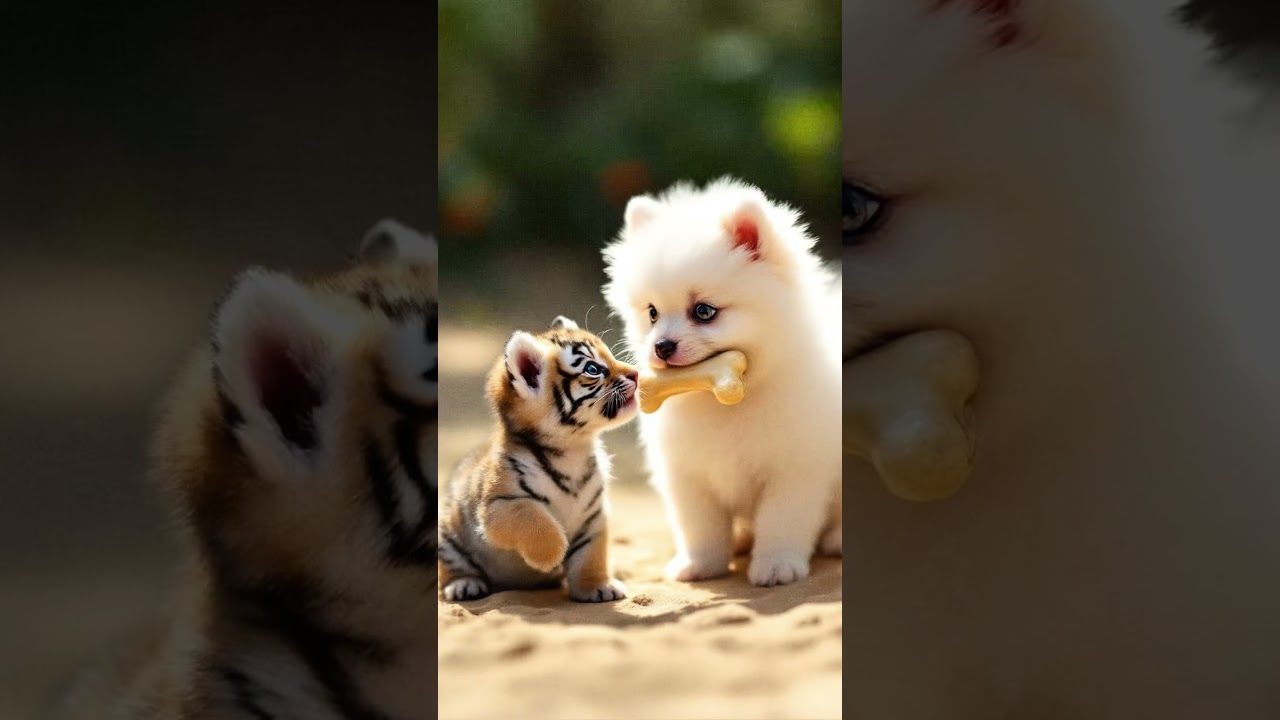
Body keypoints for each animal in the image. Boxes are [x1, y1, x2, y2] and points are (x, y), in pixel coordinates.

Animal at [437, 316, 638, 603]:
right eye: (592, 368)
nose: (637, 374)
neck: (573, 450)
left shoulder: (595, 516)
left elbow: (591, 554)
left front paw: (598, 587)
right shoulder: (497, 505)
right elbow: (533, 518)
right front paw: (550, 558)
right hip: (447, 537)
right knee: (453, 568)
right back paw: (464, 585)